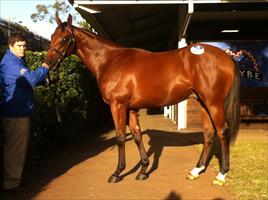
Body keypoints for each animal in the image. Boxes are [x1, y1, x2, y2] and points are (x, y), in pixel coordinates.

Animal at [45, 14, 241, 186]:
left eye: (64, 39)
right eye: (52, 36)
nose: (48, 63)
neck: (110, 61)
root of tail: (227, 57)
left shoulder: (118, 106)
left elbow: (120, 137)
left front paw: (117, 173)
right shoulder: (131, 109)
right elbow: (137, 136)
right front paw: (143, 171)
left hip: (214, 104)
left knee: (223, 132)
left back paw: (221, 175)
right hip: (202, 103)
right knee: (208, 133)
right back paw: (196, 170)